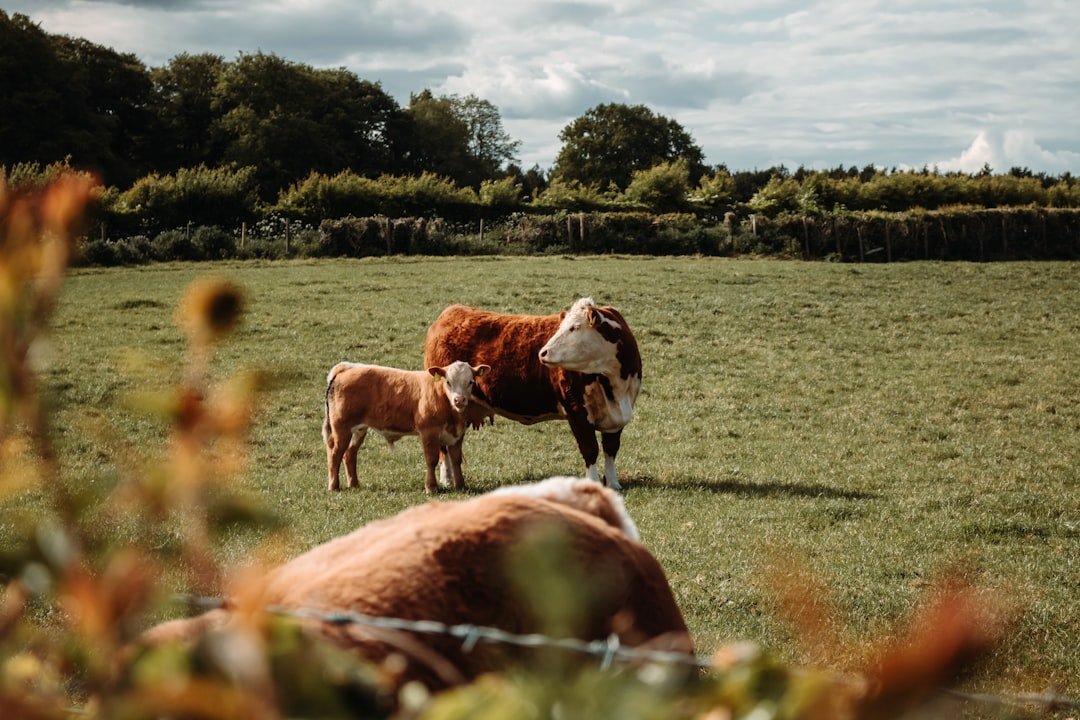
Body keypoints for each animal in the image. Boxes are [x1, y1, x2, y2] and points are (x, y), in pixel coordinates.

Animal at [323, 360, 489, 492]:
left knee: (349, 453)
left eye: (470, 381)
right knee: (335, 452)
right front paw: (431, 487)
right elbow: (431, 459)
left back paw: (354, 484)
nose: (459, 400)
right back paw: (333, 486)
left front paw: (461, 485)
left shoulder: (457, 434)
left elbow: (456, 459)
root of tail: (347, 367)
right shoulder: (429, 432)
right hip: (341, 428)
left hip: (358, 429)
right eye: (448, 382)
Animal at [422, 297, 641, 490]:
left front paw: (613, 483)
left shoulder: (618, 417)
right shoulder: (576, 411)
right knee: (444, 447)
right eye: (562, 327)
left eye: (574, 327)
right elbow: (590, 449)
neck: (613, 384)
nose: (543, 352)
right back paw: (447, 479)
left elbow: (611, 449)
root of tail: (451, 312)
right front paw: (594, 483)